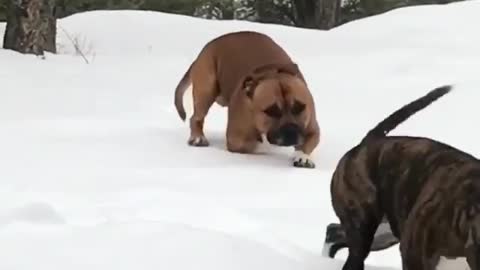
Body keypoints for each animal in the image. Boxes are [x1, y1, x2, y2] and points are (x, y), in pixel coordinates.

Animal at [174, 30, 320, 168]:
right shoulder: (235, 140)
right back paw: (198, 138)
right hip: (206, 90)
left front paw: (303, 157)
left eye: (299, 107)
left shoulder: (312, 129)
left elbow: (309, 142)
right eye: (271, 111)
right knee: (196, 117)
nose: (290, 132)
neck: (271, 72)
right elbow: (258, 145)